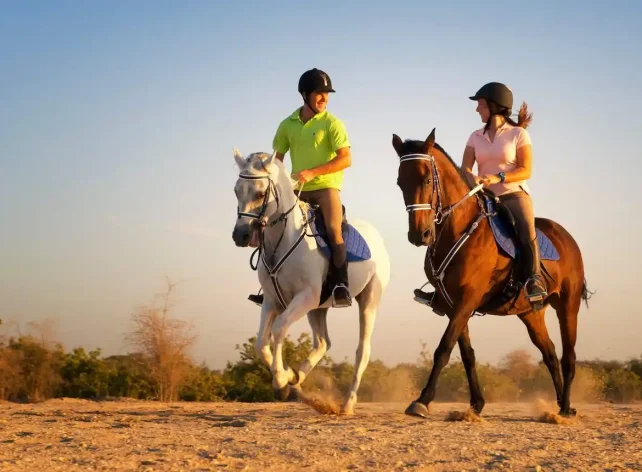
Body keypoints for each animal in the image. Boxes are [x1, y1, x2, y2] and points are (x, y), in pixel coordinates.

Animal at [232, 149, 390, 414]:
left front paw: (281, 381)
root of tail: (376, 236)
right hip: (318, 309)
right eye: (236, 190)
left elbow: (278, 329)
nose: (240, 235)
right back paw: (298, 379)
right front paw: (288, 376)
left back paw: (347, 403)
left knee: (362, 351)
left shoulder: (305, 297)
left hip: (368, 300)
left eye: (261, 193)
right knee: (322, 343)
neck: (283, 239)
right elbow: (261, 342)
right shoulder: (272, 301)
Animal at [391, 128, 590, 418]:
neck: (458, 229)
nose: (420, 235)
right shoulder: (451, 304)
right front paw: (476, 403)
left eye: (427, 179)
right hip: (531, 313)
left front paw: (422, 400)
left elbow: (443, 348)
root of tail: (566, 237)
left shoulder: (468, 299)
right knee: (551, 353)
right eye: (400, 182)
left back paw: (565, 408)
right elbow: (466, 354)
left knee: (569, 355)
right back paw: (560, 404)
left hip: (568, 304)